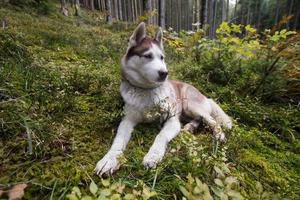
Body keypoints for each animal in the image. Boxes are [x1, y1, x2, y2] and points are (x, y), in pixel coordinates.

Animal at [94, 22, 232, 177]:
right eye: (147, 56)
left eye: (162, 57)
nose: (164, 73)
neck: (146, 91)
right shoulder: (127, 120)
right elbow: (118, 140)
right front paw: (109, 160)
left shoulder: (172, 120)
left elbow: (160, 136)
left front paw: (153, 156)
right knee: (198, 120)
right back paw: (188, 128)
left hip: (191, 106)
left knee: (211, 120)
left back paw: (218, 135)